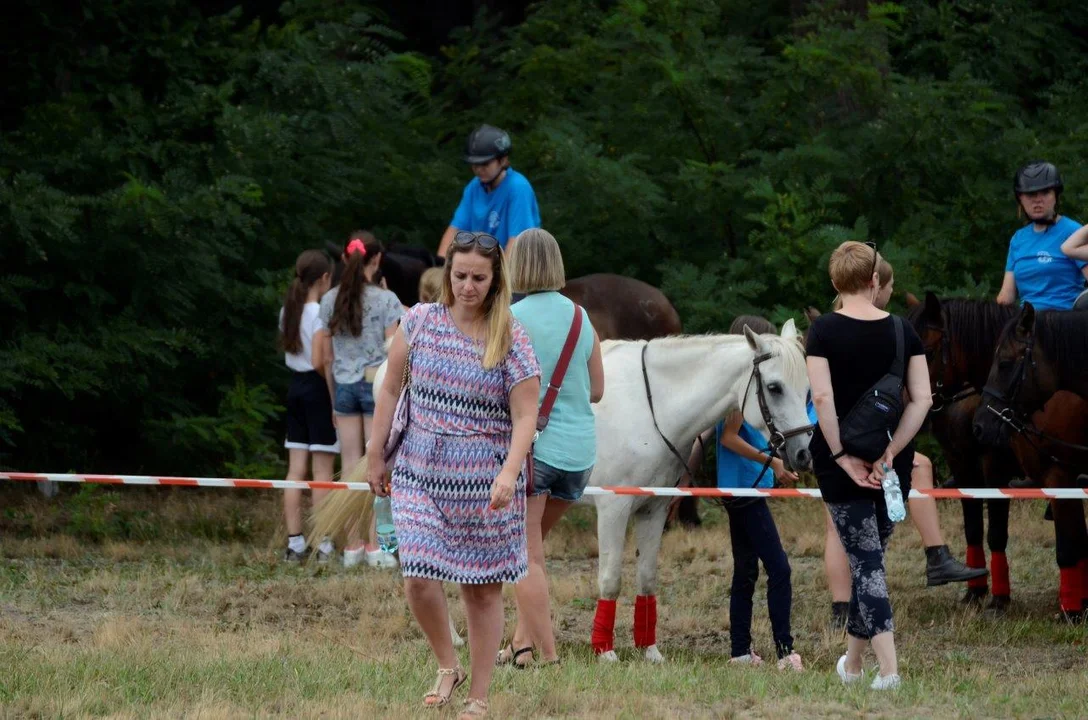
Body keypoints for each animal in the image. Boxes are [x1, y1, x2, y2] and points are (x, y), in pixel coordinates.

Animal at [587, 324, 809, 661]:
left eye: (807, 389)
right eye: (774, 388)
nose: (803, 454)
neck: (650, 408)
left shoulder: (654, 509)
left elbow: (647, 578)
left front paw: (650, 651)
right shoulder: (613, 508)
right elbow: (610, 580)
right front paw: (605, 652)